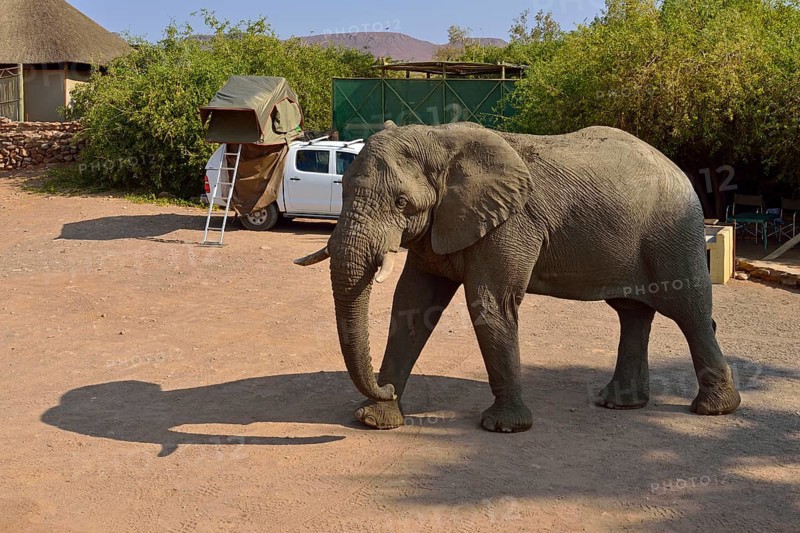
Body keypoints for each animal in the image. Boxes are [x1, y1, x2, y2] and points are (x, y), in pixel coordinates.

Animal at [295, 121, 741, 433]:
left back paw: (714, 409)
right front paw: (374, 418)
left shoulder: (510, 223)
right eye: (343, 189)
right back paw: (619, 404)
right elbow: (411, 306)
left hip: (673, 232)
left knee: (689, 311)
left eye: (402, 202)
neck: (441, 141)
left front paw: (504, 427)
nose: (382, 386)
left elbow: (491, 304)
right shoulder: (442, 224)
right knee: (632, 313)